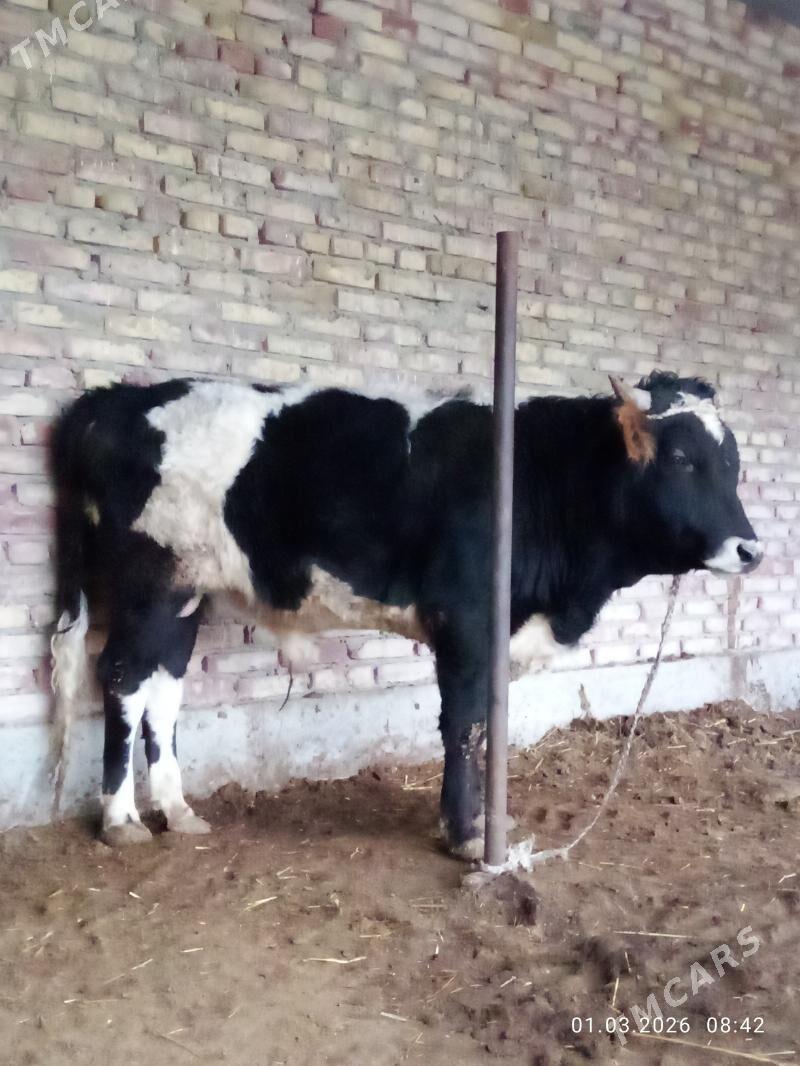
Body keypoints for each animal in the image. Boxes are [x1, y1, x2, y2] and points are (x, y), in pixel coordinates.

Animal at [50, 370, 762, 858]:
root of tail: (118, 398)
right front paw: (467, 834)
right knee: (122, 679)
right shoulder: (467, 623)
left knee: (162, 689)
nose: (750, 549)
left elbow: (487, 724)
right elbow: (465, 726)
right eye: (680, 458)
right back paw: (121, 820)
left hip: (185, 595)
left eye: (733, 463)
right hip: (149, 583)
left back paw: (177, 809)